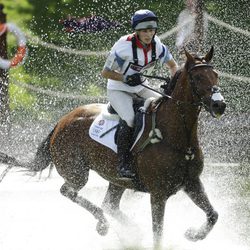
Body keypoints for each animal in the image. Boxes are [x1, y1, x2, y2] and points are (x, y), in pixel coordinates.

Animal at [0, 47, 227, 249]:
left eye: (215, 75)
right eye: (198, 77)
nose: (219, 105)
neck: (176, 135)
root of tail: (61, 121)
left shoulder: (191, 183)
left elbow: (213, 215)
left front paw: (193, 235)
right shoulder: (158, 193)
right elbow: (158, 233)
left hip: (116, 179)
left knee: (109, 204)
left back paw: (132, 230)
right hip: (76, 172)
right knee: (69, 191)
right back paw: (103, 224)